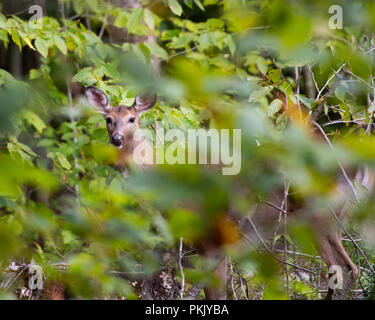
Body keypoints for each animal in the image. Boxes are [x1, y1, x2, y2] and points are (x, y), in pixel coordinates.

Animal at [86, 85, 374, 300]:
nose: (116, 140)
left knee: (348, 268)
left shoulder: (215, 239)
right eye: (108, 120)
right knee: (343, 269)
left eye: (132, 119)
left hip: (321, 214)